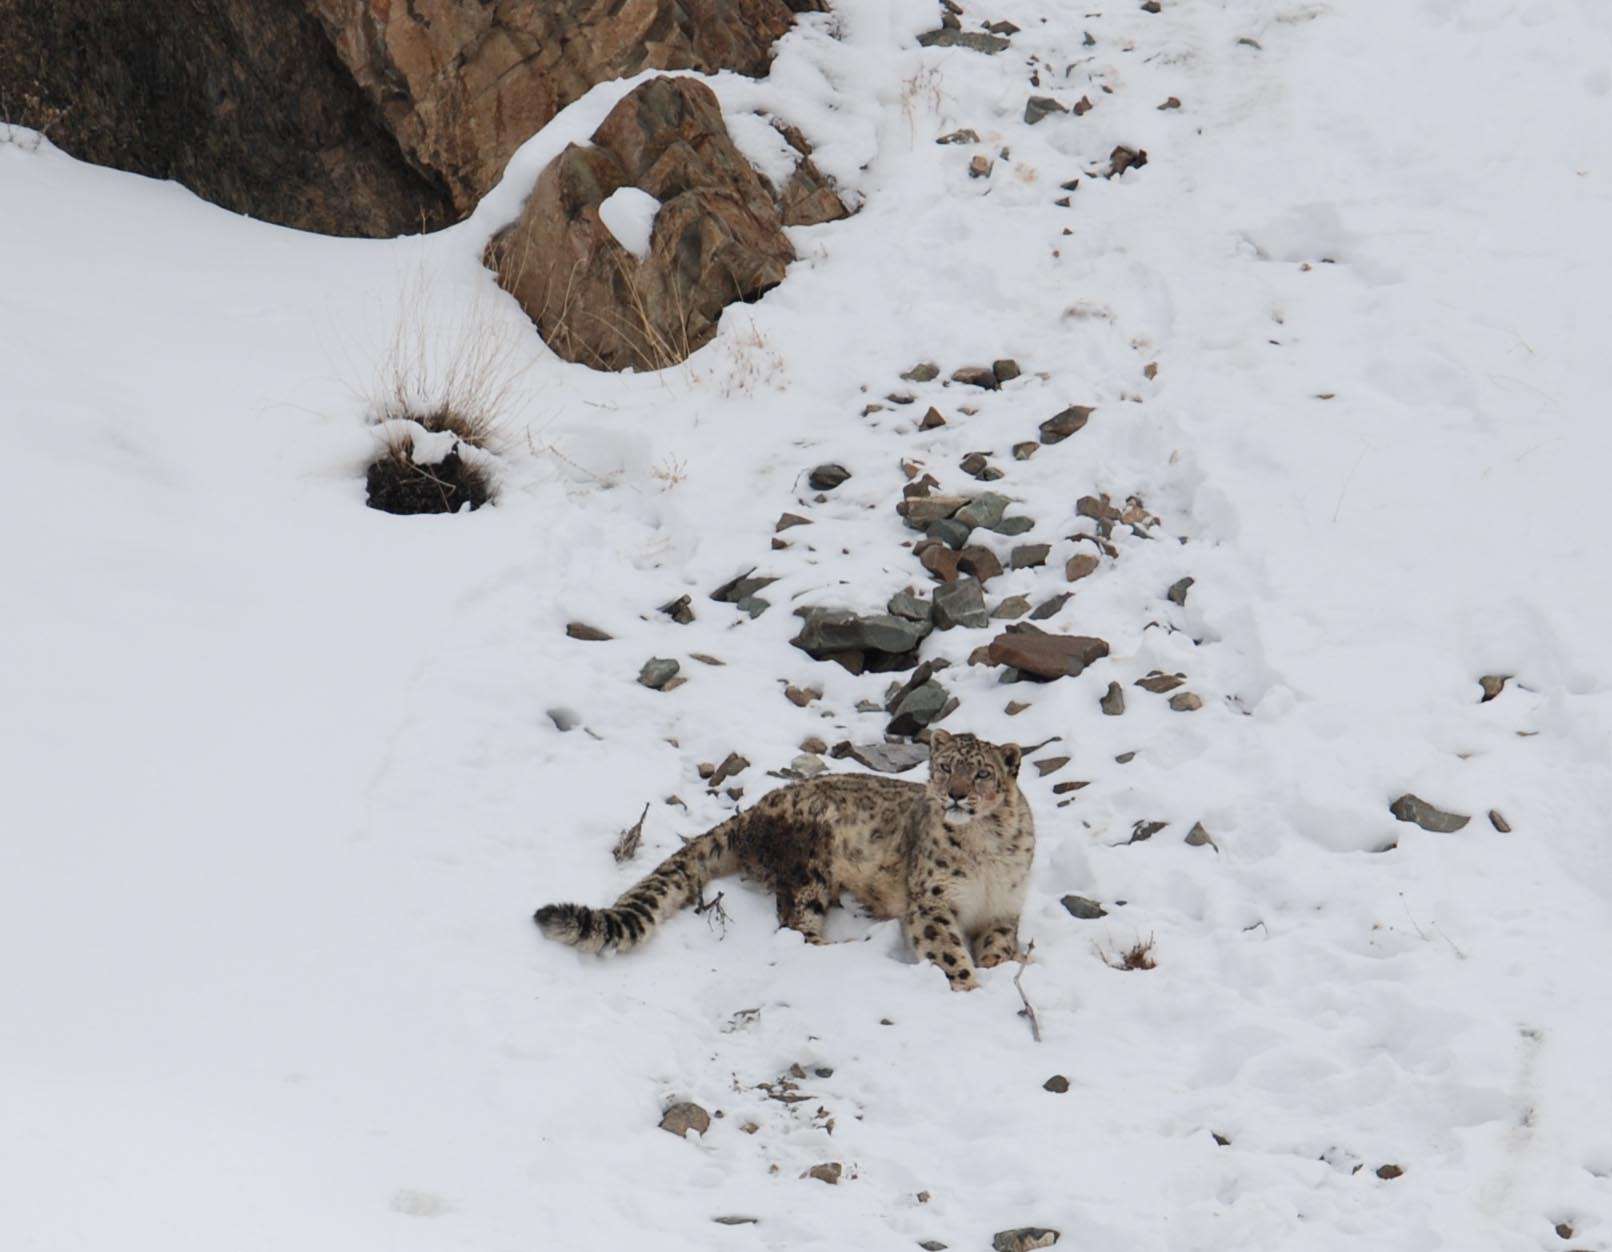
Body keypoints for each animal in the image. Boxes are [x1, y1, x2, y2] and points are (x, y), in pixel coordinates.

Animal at [533, 730, 1034, 990]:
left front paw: (999, 967)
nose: (957, 794)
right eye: (946, 766)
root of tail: (755, 808)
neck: (985, 850)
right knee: (797, 923)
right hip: (809, 861)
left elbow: (999, 943)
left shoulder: (1005, 907)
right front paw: (970, 986)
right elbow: (947, 949)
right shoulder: (932, 900)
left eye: (982, 772)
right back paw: (848, 946)